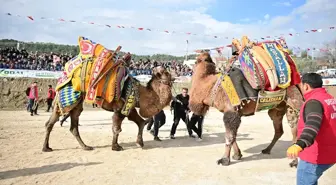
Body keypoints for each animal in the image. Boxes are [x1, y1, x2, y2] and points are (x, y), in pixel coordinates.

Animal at [42, 36, 173, 152]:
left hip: (76, 102)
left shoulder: (128, 107)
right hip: (67, 97)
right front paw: (116, 147)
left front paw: (139, 143)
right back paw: (46, 148)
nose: (157, 67)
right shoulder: (120, 108)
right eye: (166, 72)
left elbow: (140, 122)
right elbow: (117, 128)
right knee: (53, 121)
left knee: (73, 125)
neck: (139, 94)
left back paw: (85, 147)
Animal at [189, 36, 304, 168]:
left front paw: (224, 160)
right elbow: (233, 135)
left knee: (295, 128)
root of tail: (298, 79)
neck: (212, 86)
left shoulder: (231, 111)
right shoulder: (233, 112)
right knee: (279, 129)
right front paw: (237, 155)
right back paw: (266, 150)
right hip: (277, 107)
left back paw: (294, 162)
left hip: (293, 102)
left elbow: (229, 136)